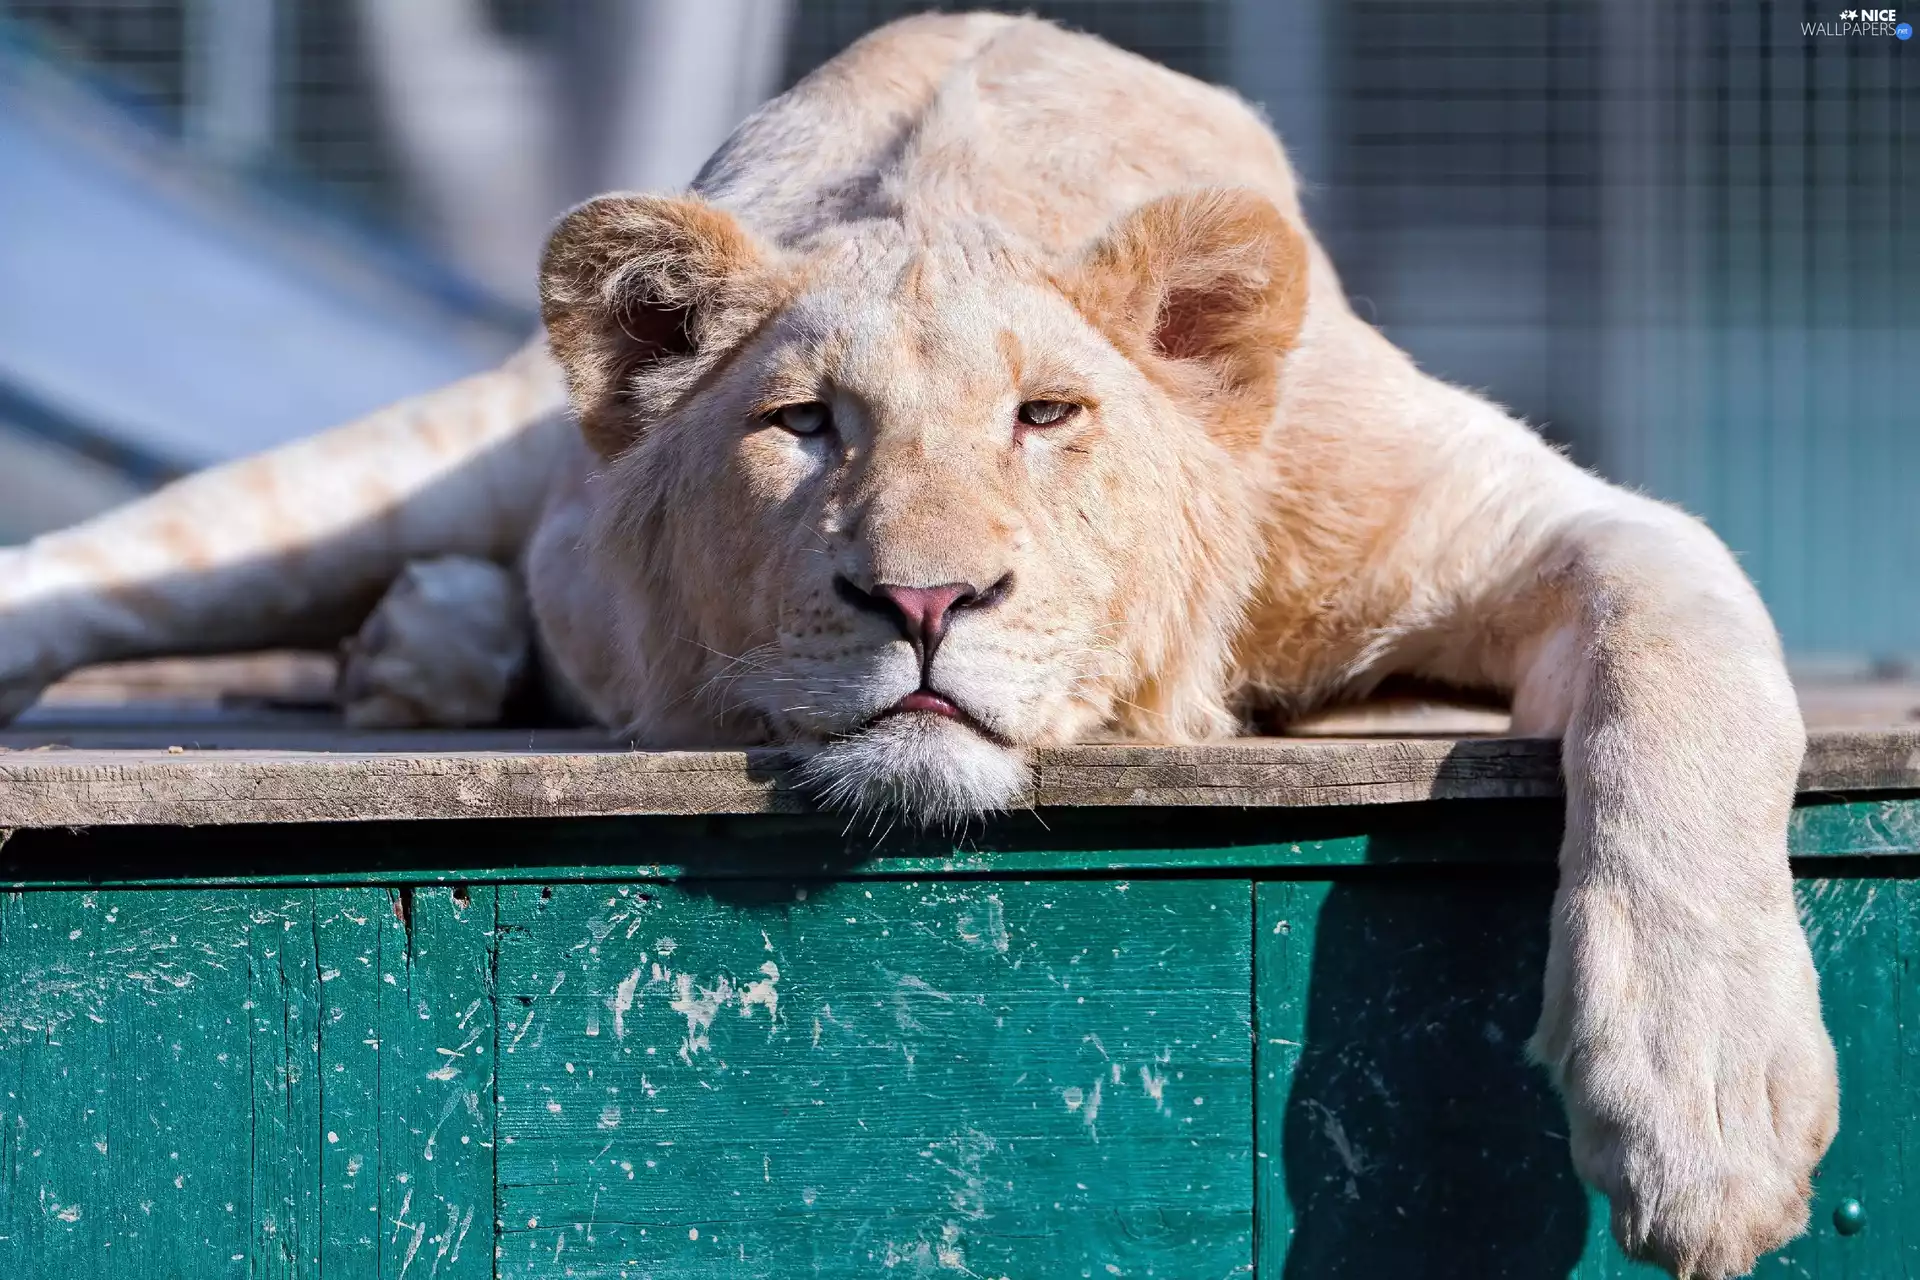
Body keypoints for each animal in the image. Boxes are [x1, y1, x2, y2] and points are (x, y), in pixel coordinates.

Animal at [0, 13, 1835, 1276]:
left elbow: (1688, 676)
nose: (928, 604)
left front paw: (1705, 1105)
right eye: (805, 425)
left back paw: (425, 651)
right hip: (404, 468)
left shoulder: (1530, 517)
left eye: (1047, 415)